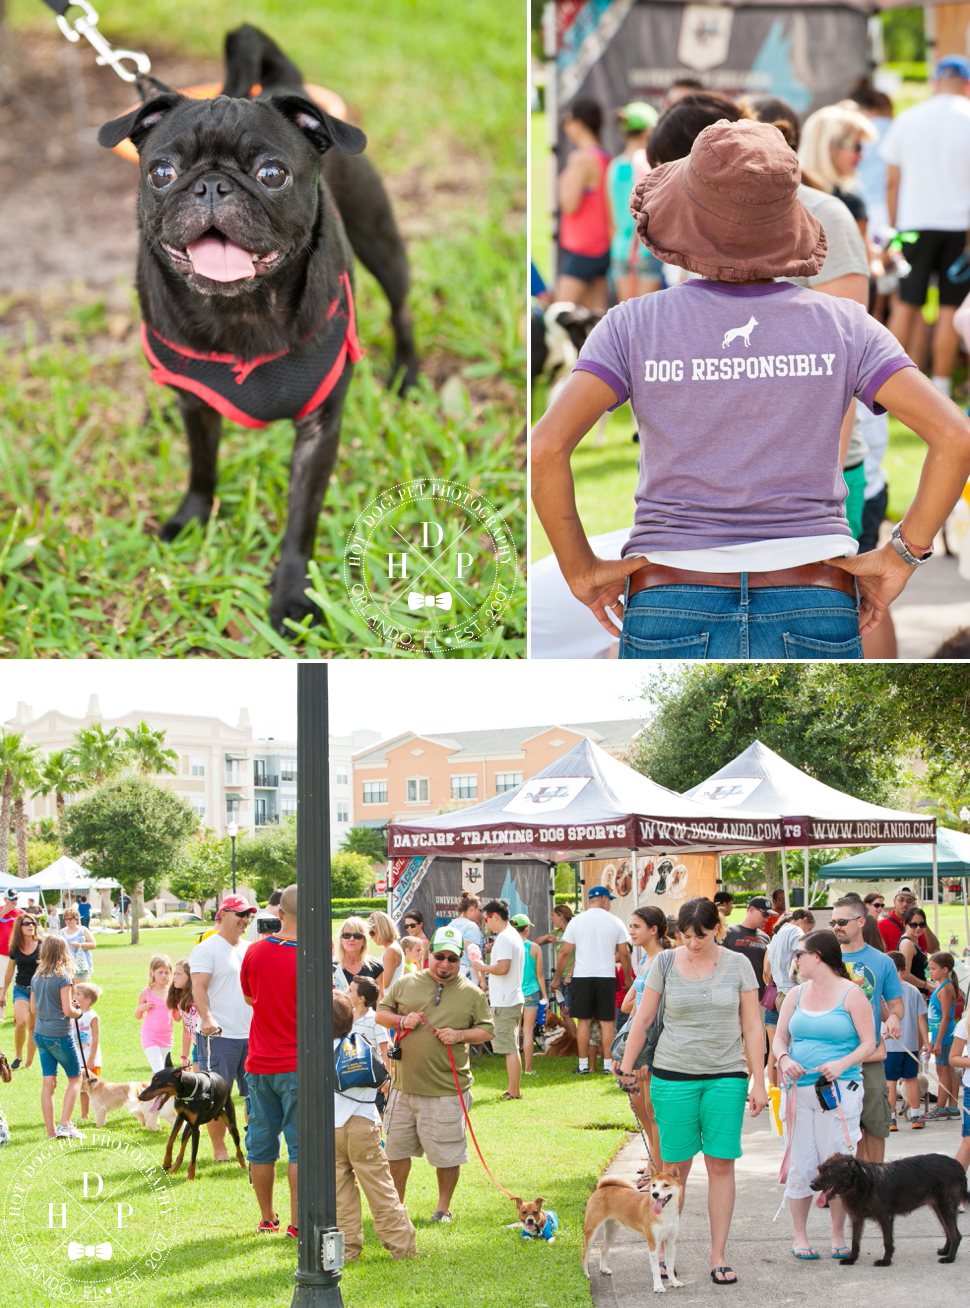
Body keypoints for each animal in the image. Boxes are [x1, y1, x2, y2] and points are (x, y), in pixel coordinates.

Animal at [96, 23, 420, 630]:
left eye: (273, 174)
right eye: (161, 173)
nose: (211, 186)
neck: (241, 310)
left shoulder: (319, 432)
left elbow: (300, 522)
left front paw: (292, 595)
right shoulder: (197, 410)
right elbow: (202, 469)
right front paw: (191, 519)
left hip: (381, 243)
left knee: (401, 309)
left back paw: (408, 376)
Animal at [810, 1156, 970, 1266]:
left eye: (828, 1173)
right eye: (820, 1170)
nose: (811, 1185)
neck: (862, 1184)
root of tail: (958, 1166)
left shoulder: (885, 1217)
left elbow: (887, 1241)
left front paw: (885, 1261)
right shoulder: (857, 1218)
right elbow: (855, 1241)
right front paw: (851, 1259)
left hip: (945, 1207)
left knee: (956, 1235)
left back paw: (949, 1258)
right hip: (938, 1208)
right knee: (948, 1232)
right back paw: (945, 1251)